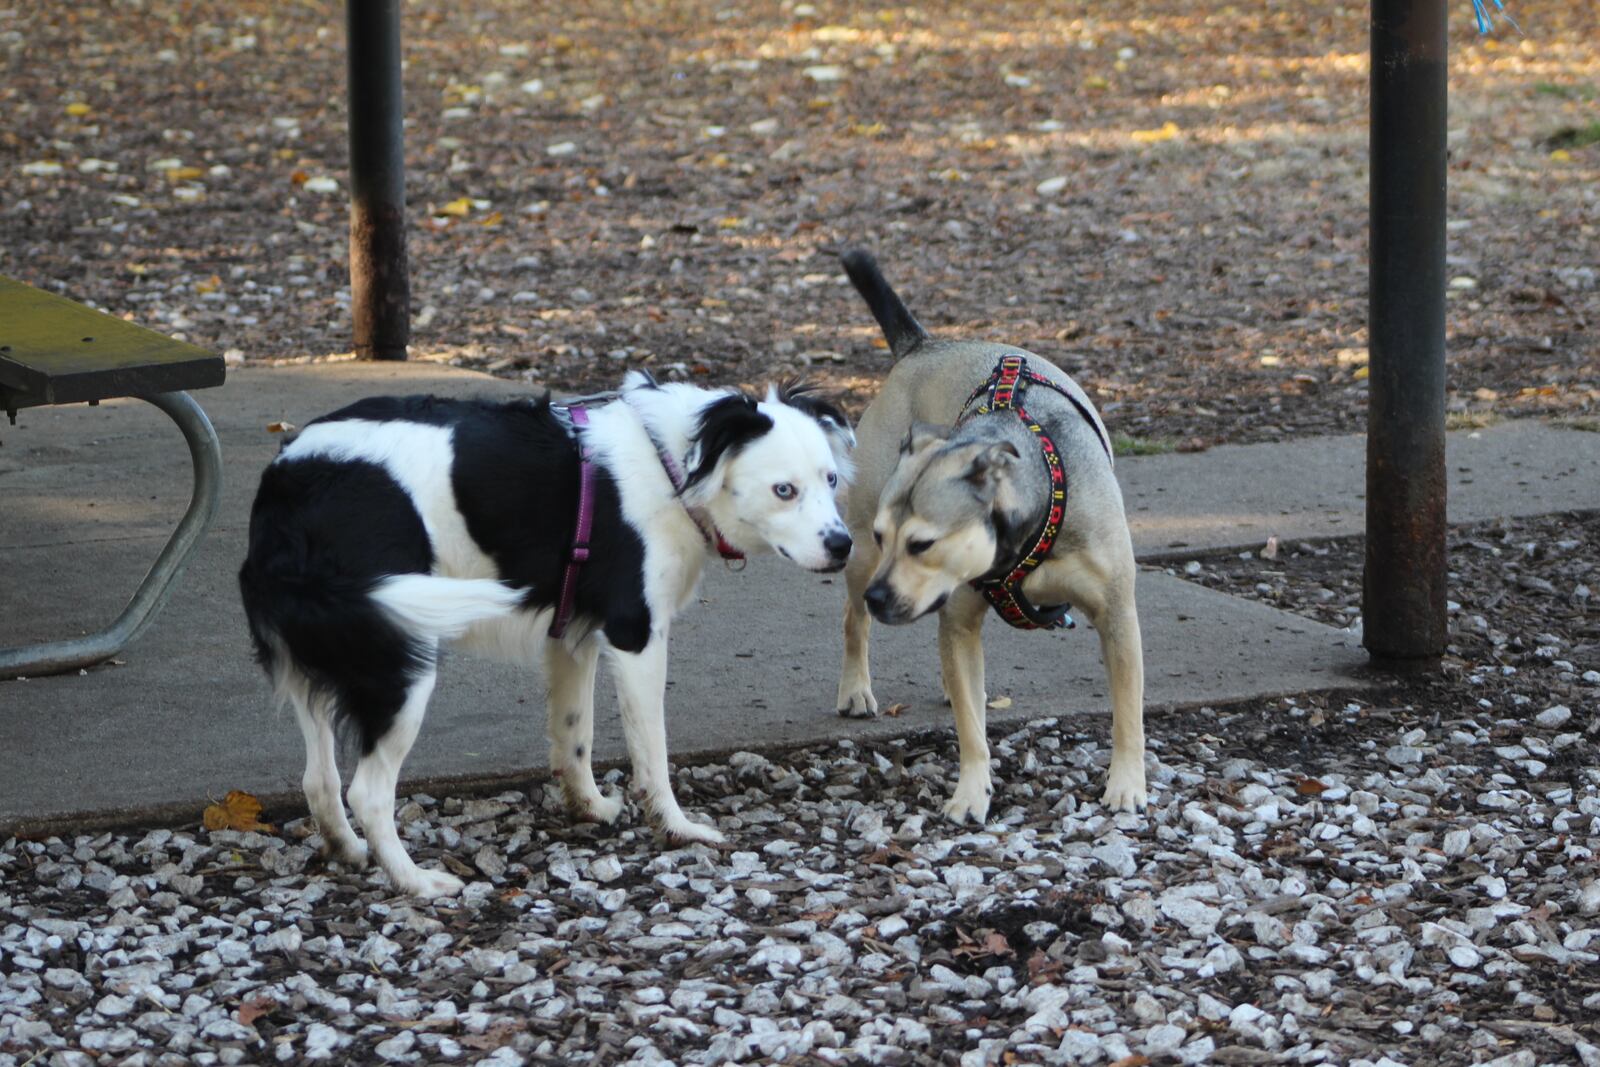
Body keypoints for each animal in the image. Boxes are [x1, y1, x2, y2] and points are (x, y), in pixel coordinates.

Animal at [238, 371, 857, 895]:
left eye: (829, 480)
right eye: (783, 490)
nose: (842, 546)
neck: (673, 465)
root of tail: (287, 486)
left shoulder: (572, 635)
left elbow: (574, 734)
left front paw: (589, 808)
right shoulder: (636, 635)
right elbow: (653, 751)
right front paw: (677, 828)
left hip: (324, 658)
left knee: (318, 779)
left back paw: (347, 851)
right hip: (400, 662)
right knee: (366, 791)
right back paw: (416, 882)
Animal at [832, 252, 1145, 825]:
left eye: (923, 544)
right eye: (890, 537)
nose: (881, 596)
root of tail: (923, 345)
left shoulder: (1117, 617)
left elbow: (1127, 713)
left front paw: (1127, 783)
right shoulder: (952, 612)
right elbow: (972, 733)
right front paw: (971, 792)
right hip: (860, 555)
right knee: (853, 621)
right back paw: (856, 687)